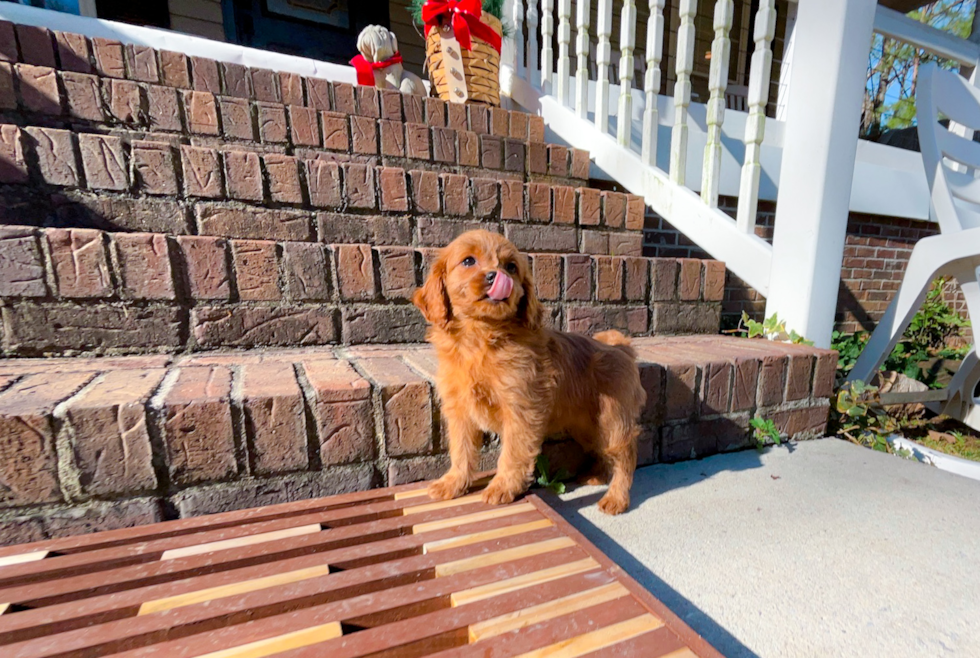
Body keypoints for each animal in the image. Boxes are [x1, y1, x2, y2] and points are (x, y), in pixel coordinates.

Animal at [412, 229, 648, 512]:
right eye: (468, 261)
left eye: (511, 267)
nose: (495, 276)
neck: (480, 337)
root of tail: (620, 346)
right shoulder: (460, 412)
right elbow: (461, 451)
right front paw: (453, 482)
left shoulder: (521, 409)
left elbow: (513, 453)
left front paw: (503, 487)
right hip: (586, 425)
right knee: (602, 449)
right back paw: (596, 475)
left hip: (612, 418)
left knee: (625, 454)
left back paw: (616, 498)